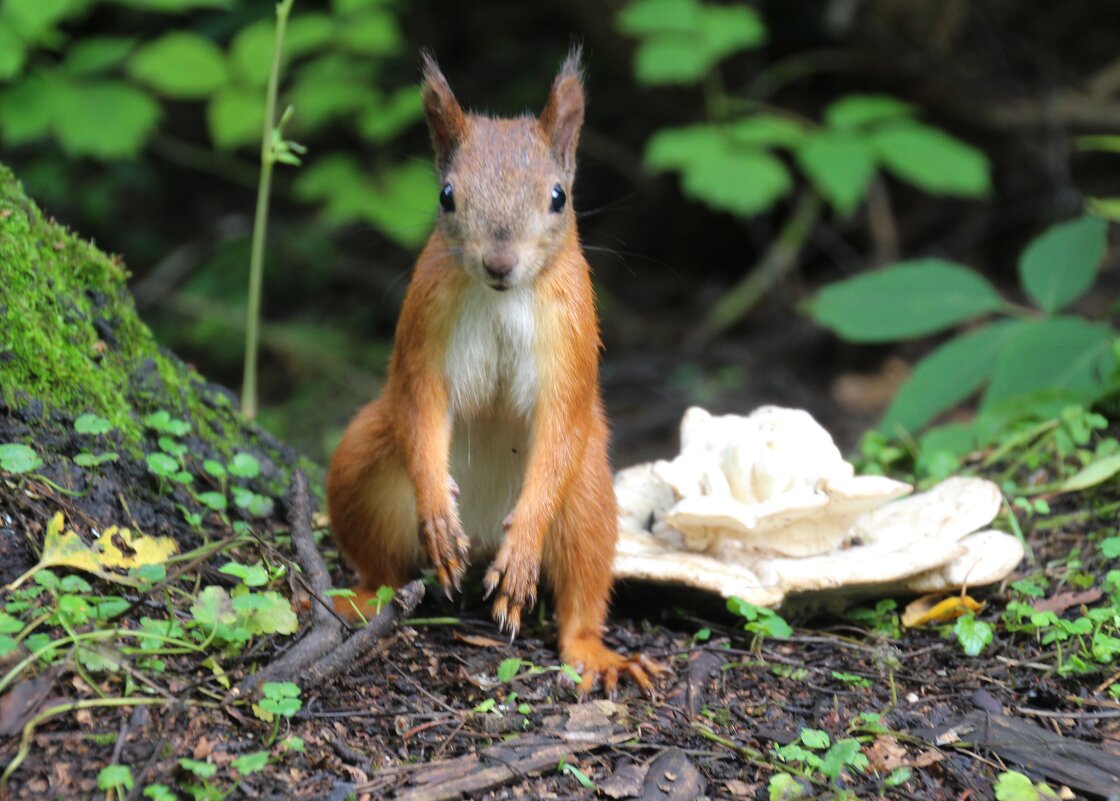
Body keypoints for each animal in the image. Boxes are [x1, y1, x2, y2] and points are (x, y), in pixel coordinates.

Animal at [324, 47, 658, 694]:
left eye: (558, 197)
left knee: (583, 587)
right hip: (364, 464)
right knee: (382, 567)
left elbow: (561, 421)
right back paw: (364, 596)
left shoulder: (571, 340)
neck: (502, 297)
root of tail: (480, 536)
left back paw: (592, 651)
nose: (500, 262)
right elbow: (420, 400)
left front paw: (524, 547)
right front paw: (436, 507)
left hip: (587, 497)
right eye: (446, 195)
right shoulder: (423, 327)